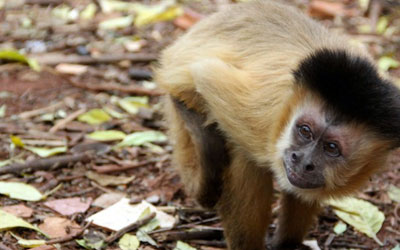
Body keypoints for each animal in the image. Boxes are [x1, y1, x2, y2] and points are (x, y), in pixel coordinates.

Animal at [155, 0, 400, 249]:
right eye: (305, 131)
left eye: (331, 148)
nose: (303, 160)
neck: (287, 108)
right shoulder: (258, 115)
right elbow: (202, 73)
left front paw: (285, 242)